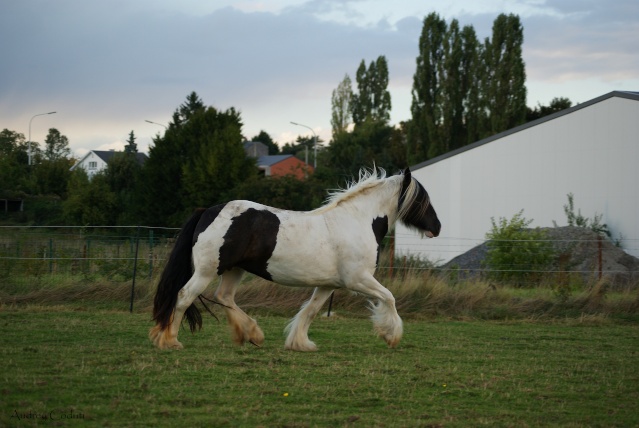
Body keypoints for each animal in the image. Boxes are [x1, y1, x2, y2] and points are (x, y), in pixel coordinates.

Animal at [150, 167, 440, 352]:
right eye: (422, 200)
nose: (437, 227)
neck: (357, 221)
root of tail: (208, 211)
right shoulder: (358, 280)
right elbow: (389, 298)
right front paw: (391, 335)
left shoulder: (328, 285)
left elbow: (310, 311)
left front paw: (300, 343)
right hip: (207, 271)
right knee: (184, 296)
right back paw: (170, 341)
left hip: (234, 270)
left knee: (224, 297)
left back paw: (253, 334)